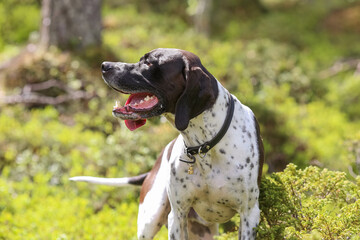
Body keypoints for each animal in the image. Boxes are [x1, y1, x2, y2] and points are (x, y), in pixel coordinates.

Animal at [69, 47, 264, 239]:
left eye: (149, 63)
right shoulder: (177, 215)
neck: (205, 146)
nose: (104, 65)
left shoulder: (249, 215)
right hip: (151, 219)